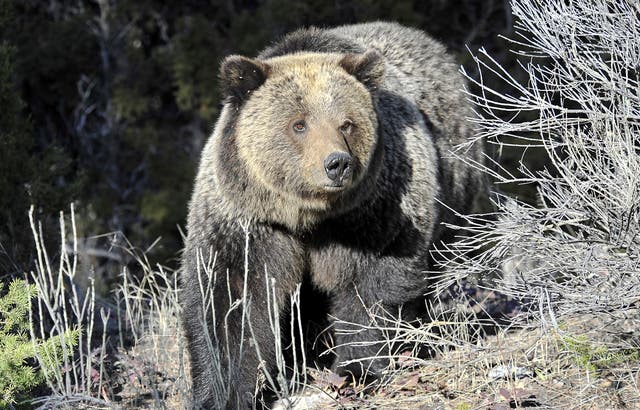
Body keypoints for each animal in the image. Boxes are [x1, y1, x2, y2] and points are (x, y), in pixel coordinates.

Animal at [180, 21, 484, 409]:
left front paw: (357, 370)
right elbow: (231, 300)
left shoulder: (375, 213)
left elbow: (373, 287)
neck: (308, 217)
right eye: (299, 124)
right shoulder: (249, 222)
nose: (337, 163)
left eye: (347, 123)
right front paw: (221, 392)